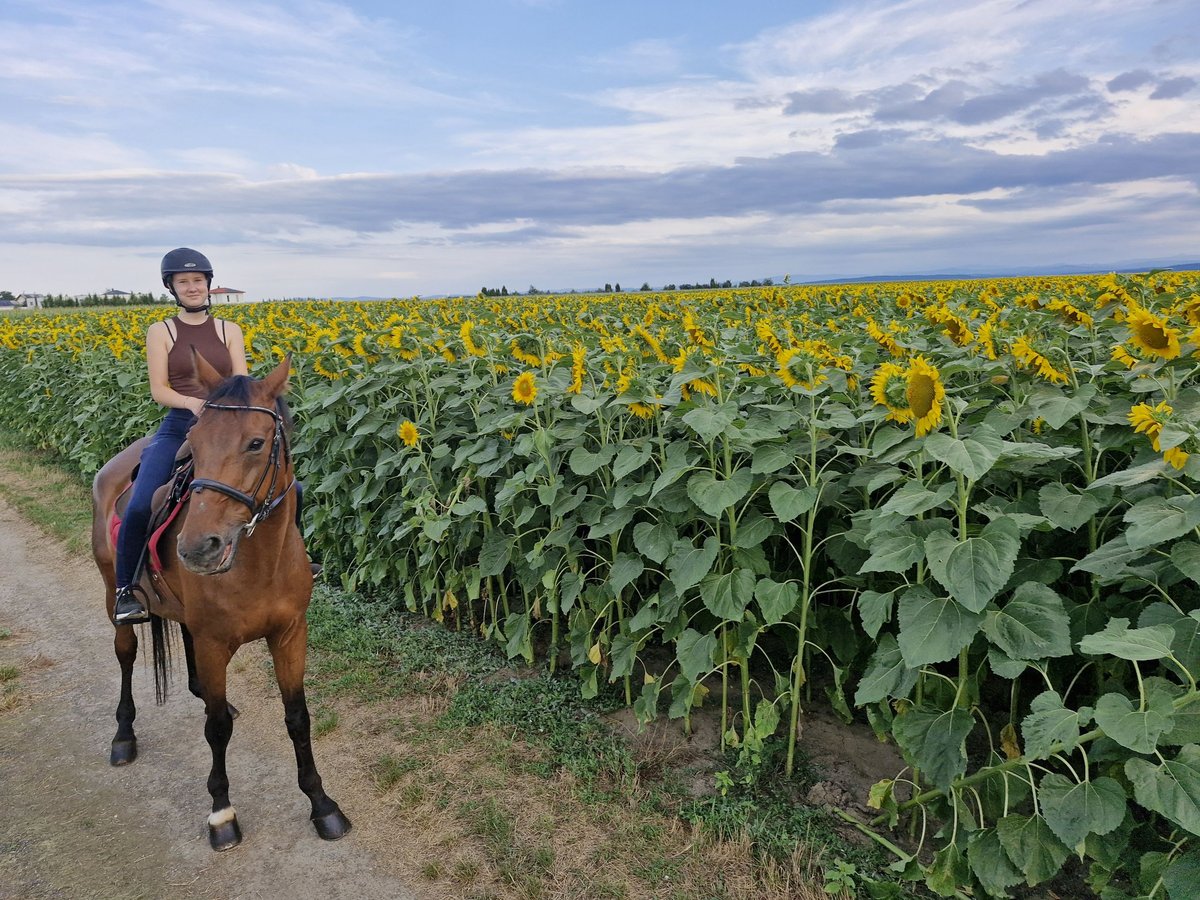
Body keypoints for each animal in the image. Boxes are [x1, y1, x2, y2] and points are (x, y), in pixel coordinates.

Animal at [88, 352, 350, 854]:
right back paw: (123, 736)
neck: (258, 563)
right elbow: (215, 732)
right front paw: (222, 814)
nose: (197, 549)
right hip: (114, 595)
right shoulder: (213, 643)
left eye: (256, 443)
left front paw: (323, 805)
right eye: (193, 441)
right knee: (126, 654)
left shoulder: (290, 634)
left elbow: (298, 718)